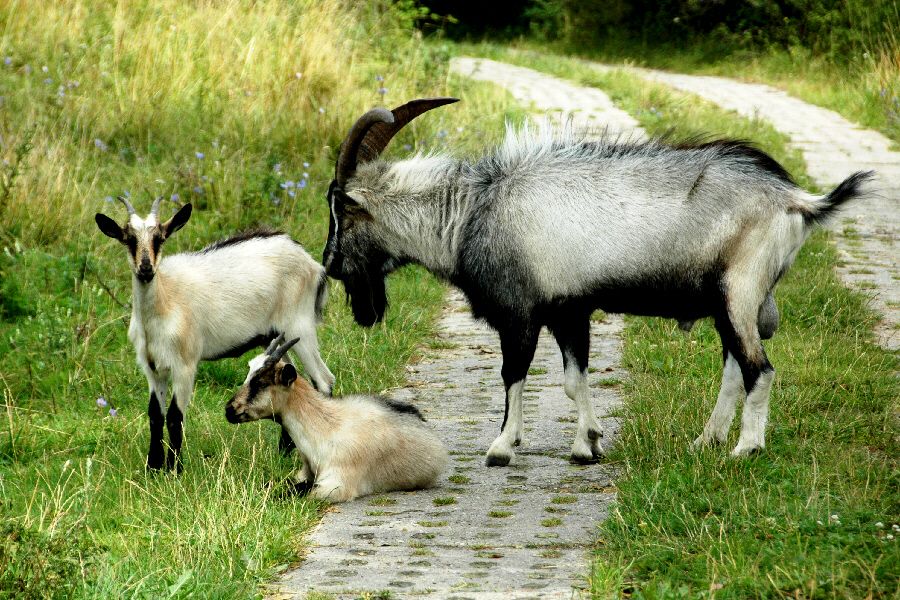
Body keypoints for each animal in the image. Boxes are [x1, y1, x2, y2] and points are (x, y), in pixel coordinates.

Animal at [96, 199, 334, 472]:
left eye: (160, 238)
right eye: (129, 239)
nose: (145, 268)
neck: (165, 302)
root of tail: (313, 265)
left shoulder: (185, 365)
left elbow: (175, 416)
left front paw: (175, 470)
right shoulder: (151, 366)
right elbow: (155, 415)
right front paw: (153, 467)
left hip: (300, 327)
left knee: (324, 381)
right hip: (275, 337)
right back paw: (283, 452)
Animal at [322, 98, 872, 464]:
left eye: (341, 213)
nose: (328, 264)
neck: (470, 213)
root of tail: (796, 201)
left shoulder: (520, 313)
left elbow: (513, 373)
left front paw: (502, 447)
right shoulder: (568, 310)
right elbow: (573, 378)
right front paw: (586, 444)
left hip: (739, 293)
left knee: (760, 369)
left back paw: (745, 449)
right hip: (729, 304)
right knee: (736, 368)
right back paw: (707, 440)